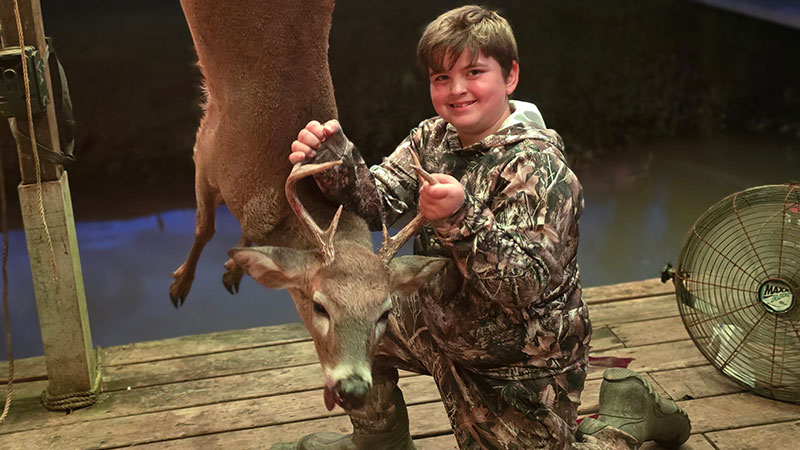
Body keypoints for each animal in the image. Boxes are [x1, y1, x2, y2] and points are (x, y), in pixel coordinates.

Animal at [170, 0, 447, 410]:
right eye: (319, 306)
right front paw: (180, 285)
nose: (353, 388)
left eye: (384, 313)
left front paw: (233, 270)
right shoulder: (207, 145)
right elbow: (205, 227)